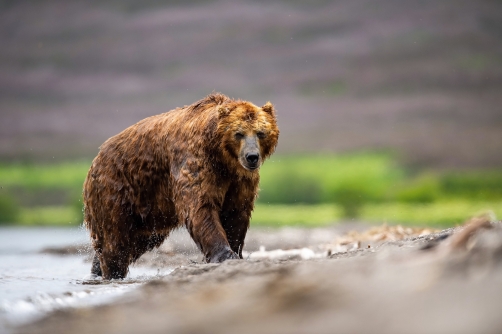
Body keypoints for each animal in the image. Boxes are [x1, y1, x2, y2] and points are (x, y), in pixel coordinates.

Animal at [82, 92, 278, 280]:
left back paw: (96, 270)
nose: (252, 157)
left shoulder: (239, 180)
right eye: (239, 133)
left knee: (137, 239)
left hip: (148, 208)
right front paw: (225, 255)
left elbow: (236, 212)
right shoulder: (195, 161)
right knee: (116, 239)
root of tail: (97, 157)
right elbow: (200, 207)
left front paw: (236, 251)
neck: (221, 158)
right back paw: (111, 272)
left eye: (261, 133)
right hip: (116, 190)